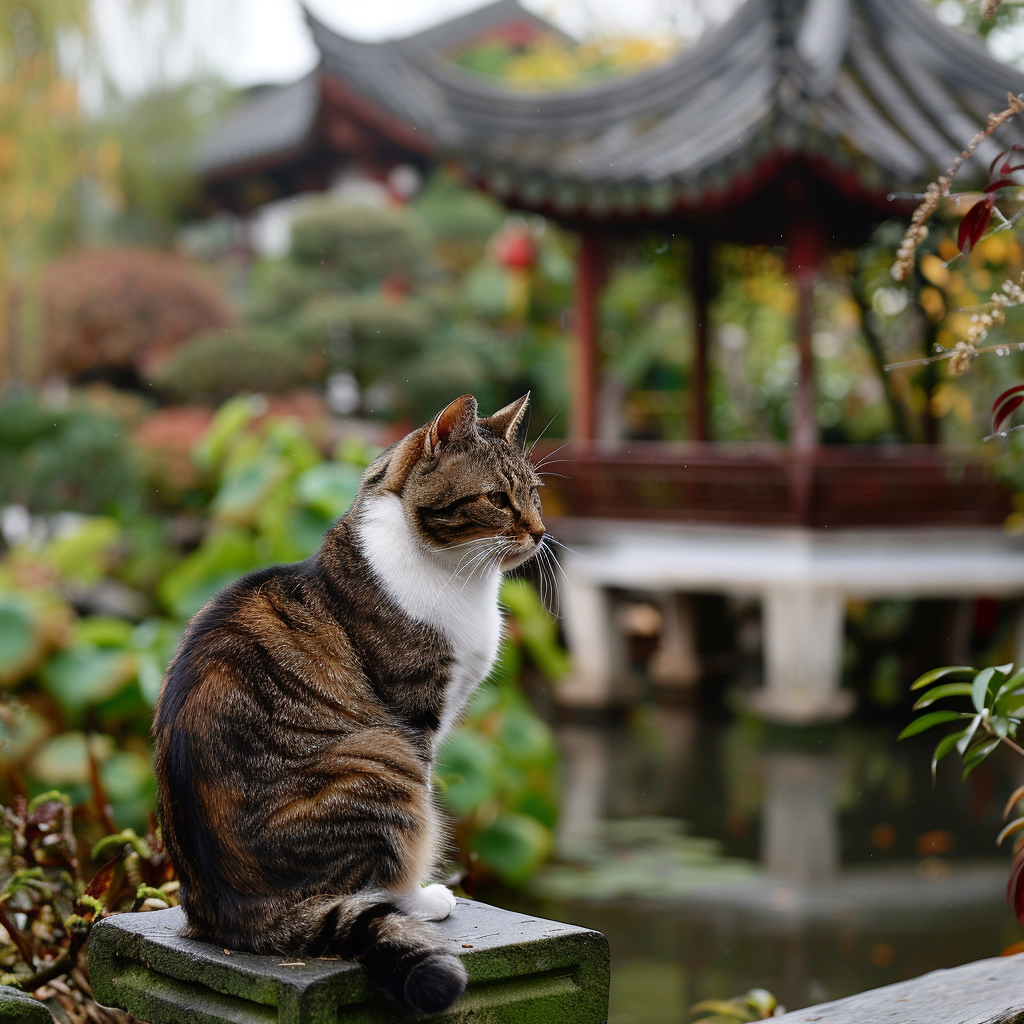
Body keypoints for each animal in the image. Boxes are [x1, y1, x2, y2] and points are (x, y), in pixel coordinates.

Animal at [151, 393, 544, 1015]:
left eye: (534, 494)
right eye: (497, 499)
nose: (541, 532)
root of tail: (234, 917)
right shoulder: (415, 722)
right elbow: (411, 846)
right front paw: (421, 897)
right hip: (383, 761)